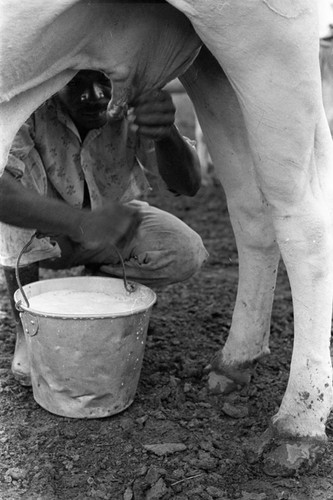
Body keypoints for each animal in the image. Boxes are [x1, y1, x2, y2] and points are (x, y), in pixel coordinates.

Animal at [0, 0, 332, 476]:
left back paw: (298, 423)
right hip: (210, 62)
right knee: (250, 204)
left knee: (302, 218)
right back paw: (235, 361)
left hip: (263, 31)